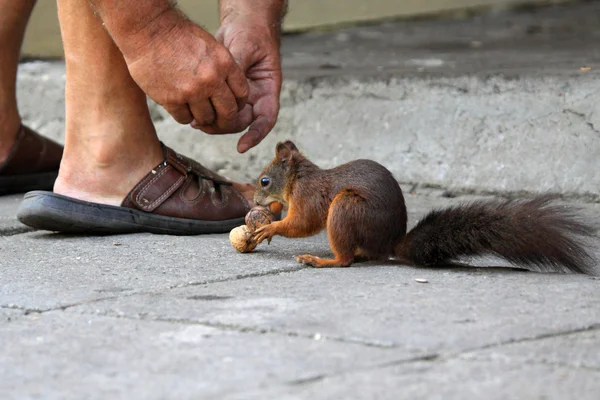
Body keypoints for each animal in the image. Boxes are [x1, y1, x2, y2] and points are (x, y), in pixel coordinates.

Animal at [251, 138, 596, 276]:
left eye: (264, 181)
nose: (254, 201)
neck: (298, 179)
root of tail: (389, 243)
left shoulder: (310, 197)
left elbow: (303, 223)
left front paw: (269, 227)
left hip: (347, 207)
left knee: (345, 260)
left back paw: (323, 261)